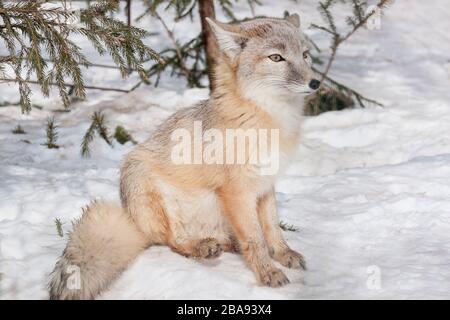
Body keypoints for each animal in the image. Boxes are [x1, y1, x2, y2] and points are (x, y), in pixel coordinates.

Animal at [48, 11, 320, 298]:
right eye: (276, 58)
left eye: (305, 55)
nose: (316, 82)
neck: (269, 119)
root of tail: (133, 223)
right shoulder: (238, 191)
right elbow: (255, 239)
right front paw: (267, 272)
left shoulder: (265, 186)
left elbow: (273, 228)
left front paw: (283, 254)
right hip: (143, 178)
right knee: (172, 242)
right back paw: (201, 247)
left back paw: (222, 244)